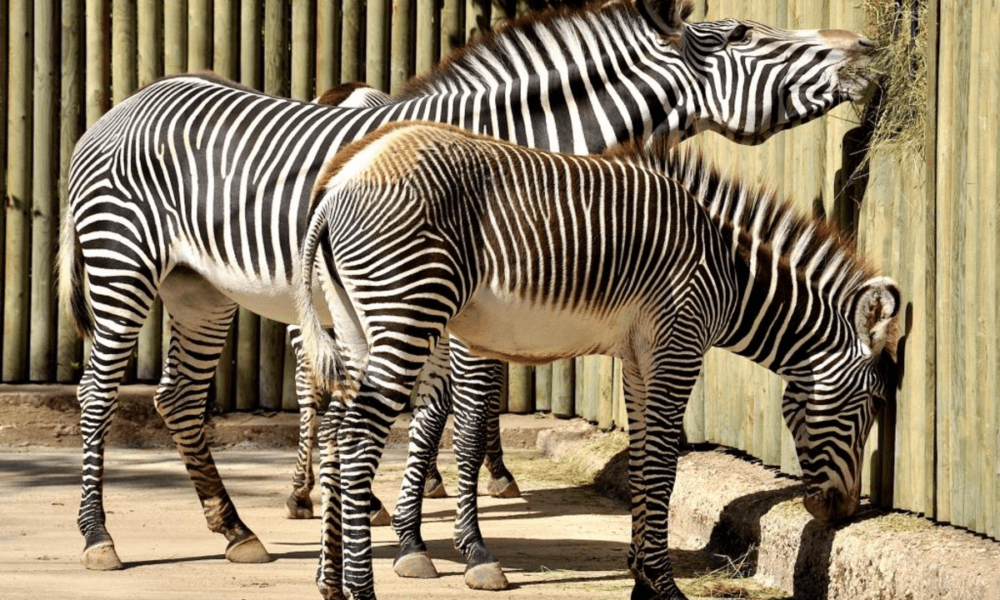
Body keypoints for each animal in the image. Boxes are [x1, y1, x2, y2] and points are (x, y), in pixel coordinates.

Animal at [294, 120, 900, 600]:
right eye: (870, 402)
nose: (844, 512)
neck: (729, 270)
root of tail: (340, 180)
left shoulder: (638, 359)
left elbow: (643, 461)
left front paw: (640, 577)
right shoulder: (679, 347)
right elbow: (662, 464)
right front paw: (662, 585)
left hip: (358, 323)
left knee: (339, 428)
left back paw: (330, 582)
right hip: (410, 309)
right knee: (359, 435)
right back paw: (361, 589)